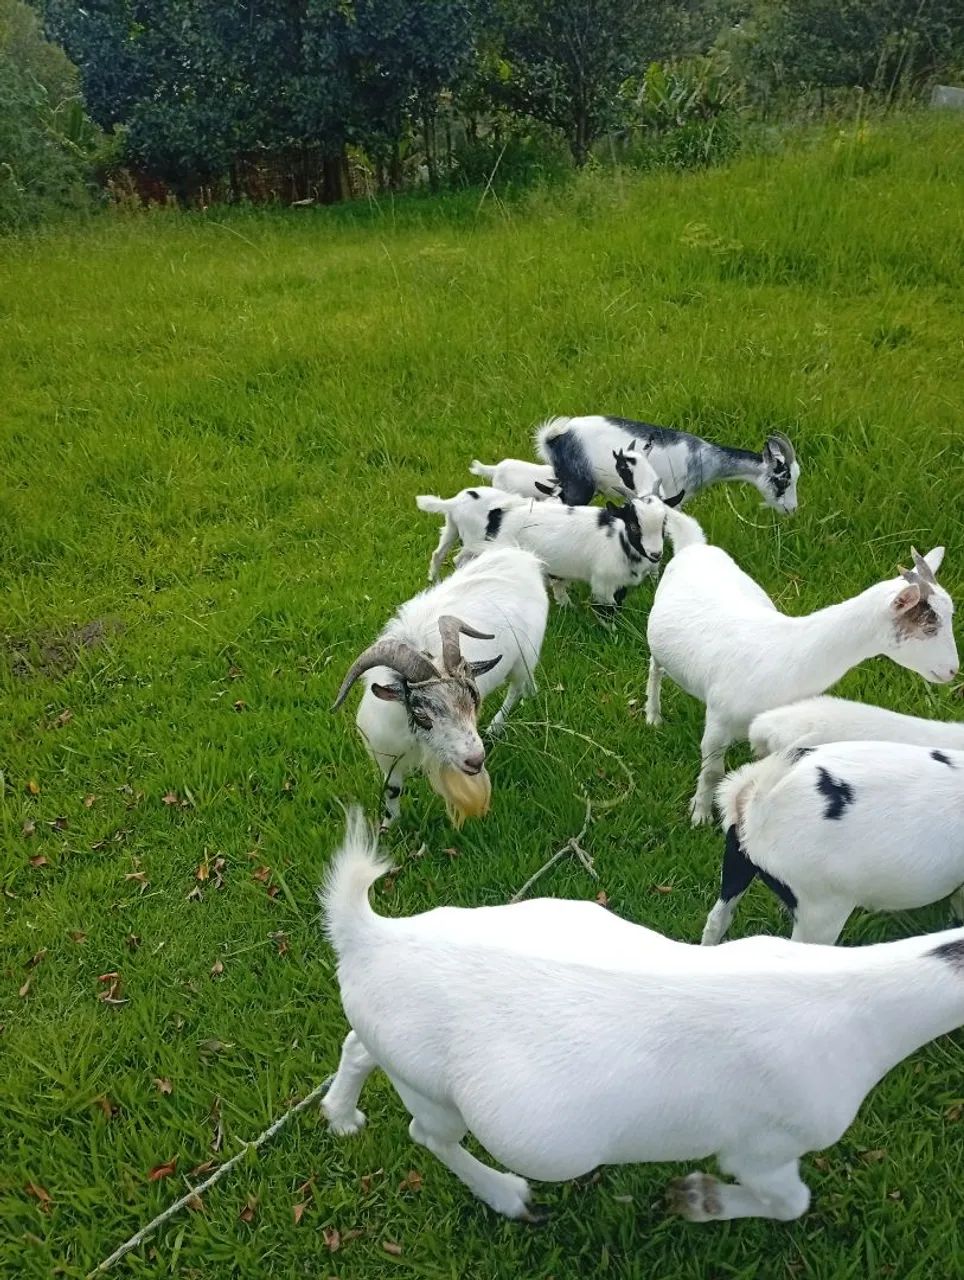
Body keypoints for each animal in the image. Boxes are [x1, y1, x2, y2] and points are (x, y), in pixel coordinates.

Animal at [322, 807, 964, 1226]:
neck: (859, 1003)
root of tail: (370, 937)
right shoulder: (765, 1148)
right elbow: (788, 1204)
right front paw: (696, 1200)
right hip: (434, 1089)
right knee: (426, 1133)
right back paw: (509, 1196)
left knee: (356, 1044)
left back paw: (341, 1115)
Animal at [332, 546, 548, 829]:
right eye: (421, 713)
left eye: (473, 700)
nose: (476, 760)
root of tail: (523, 557)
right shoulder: (386, 753)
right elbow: (392, 790)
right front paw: (388, 826)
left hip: (524, 660)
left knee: (517, 689)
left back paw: (496, 726)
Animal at [416, 487, 685, 617]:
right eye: (634, 526)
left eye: (664, 524)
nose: (656, 555)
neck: (619, 540)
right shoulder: (604, 582)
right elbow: (608, 610)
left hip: (452, 530)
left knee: (441, 554)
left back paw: (436, 581)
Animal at [535, 414, 799, 511]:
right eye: (783, 479)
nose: (792, 509)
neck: (704, 458)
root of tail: (554, 438)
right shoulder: (672, 497)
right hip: (578, 487)